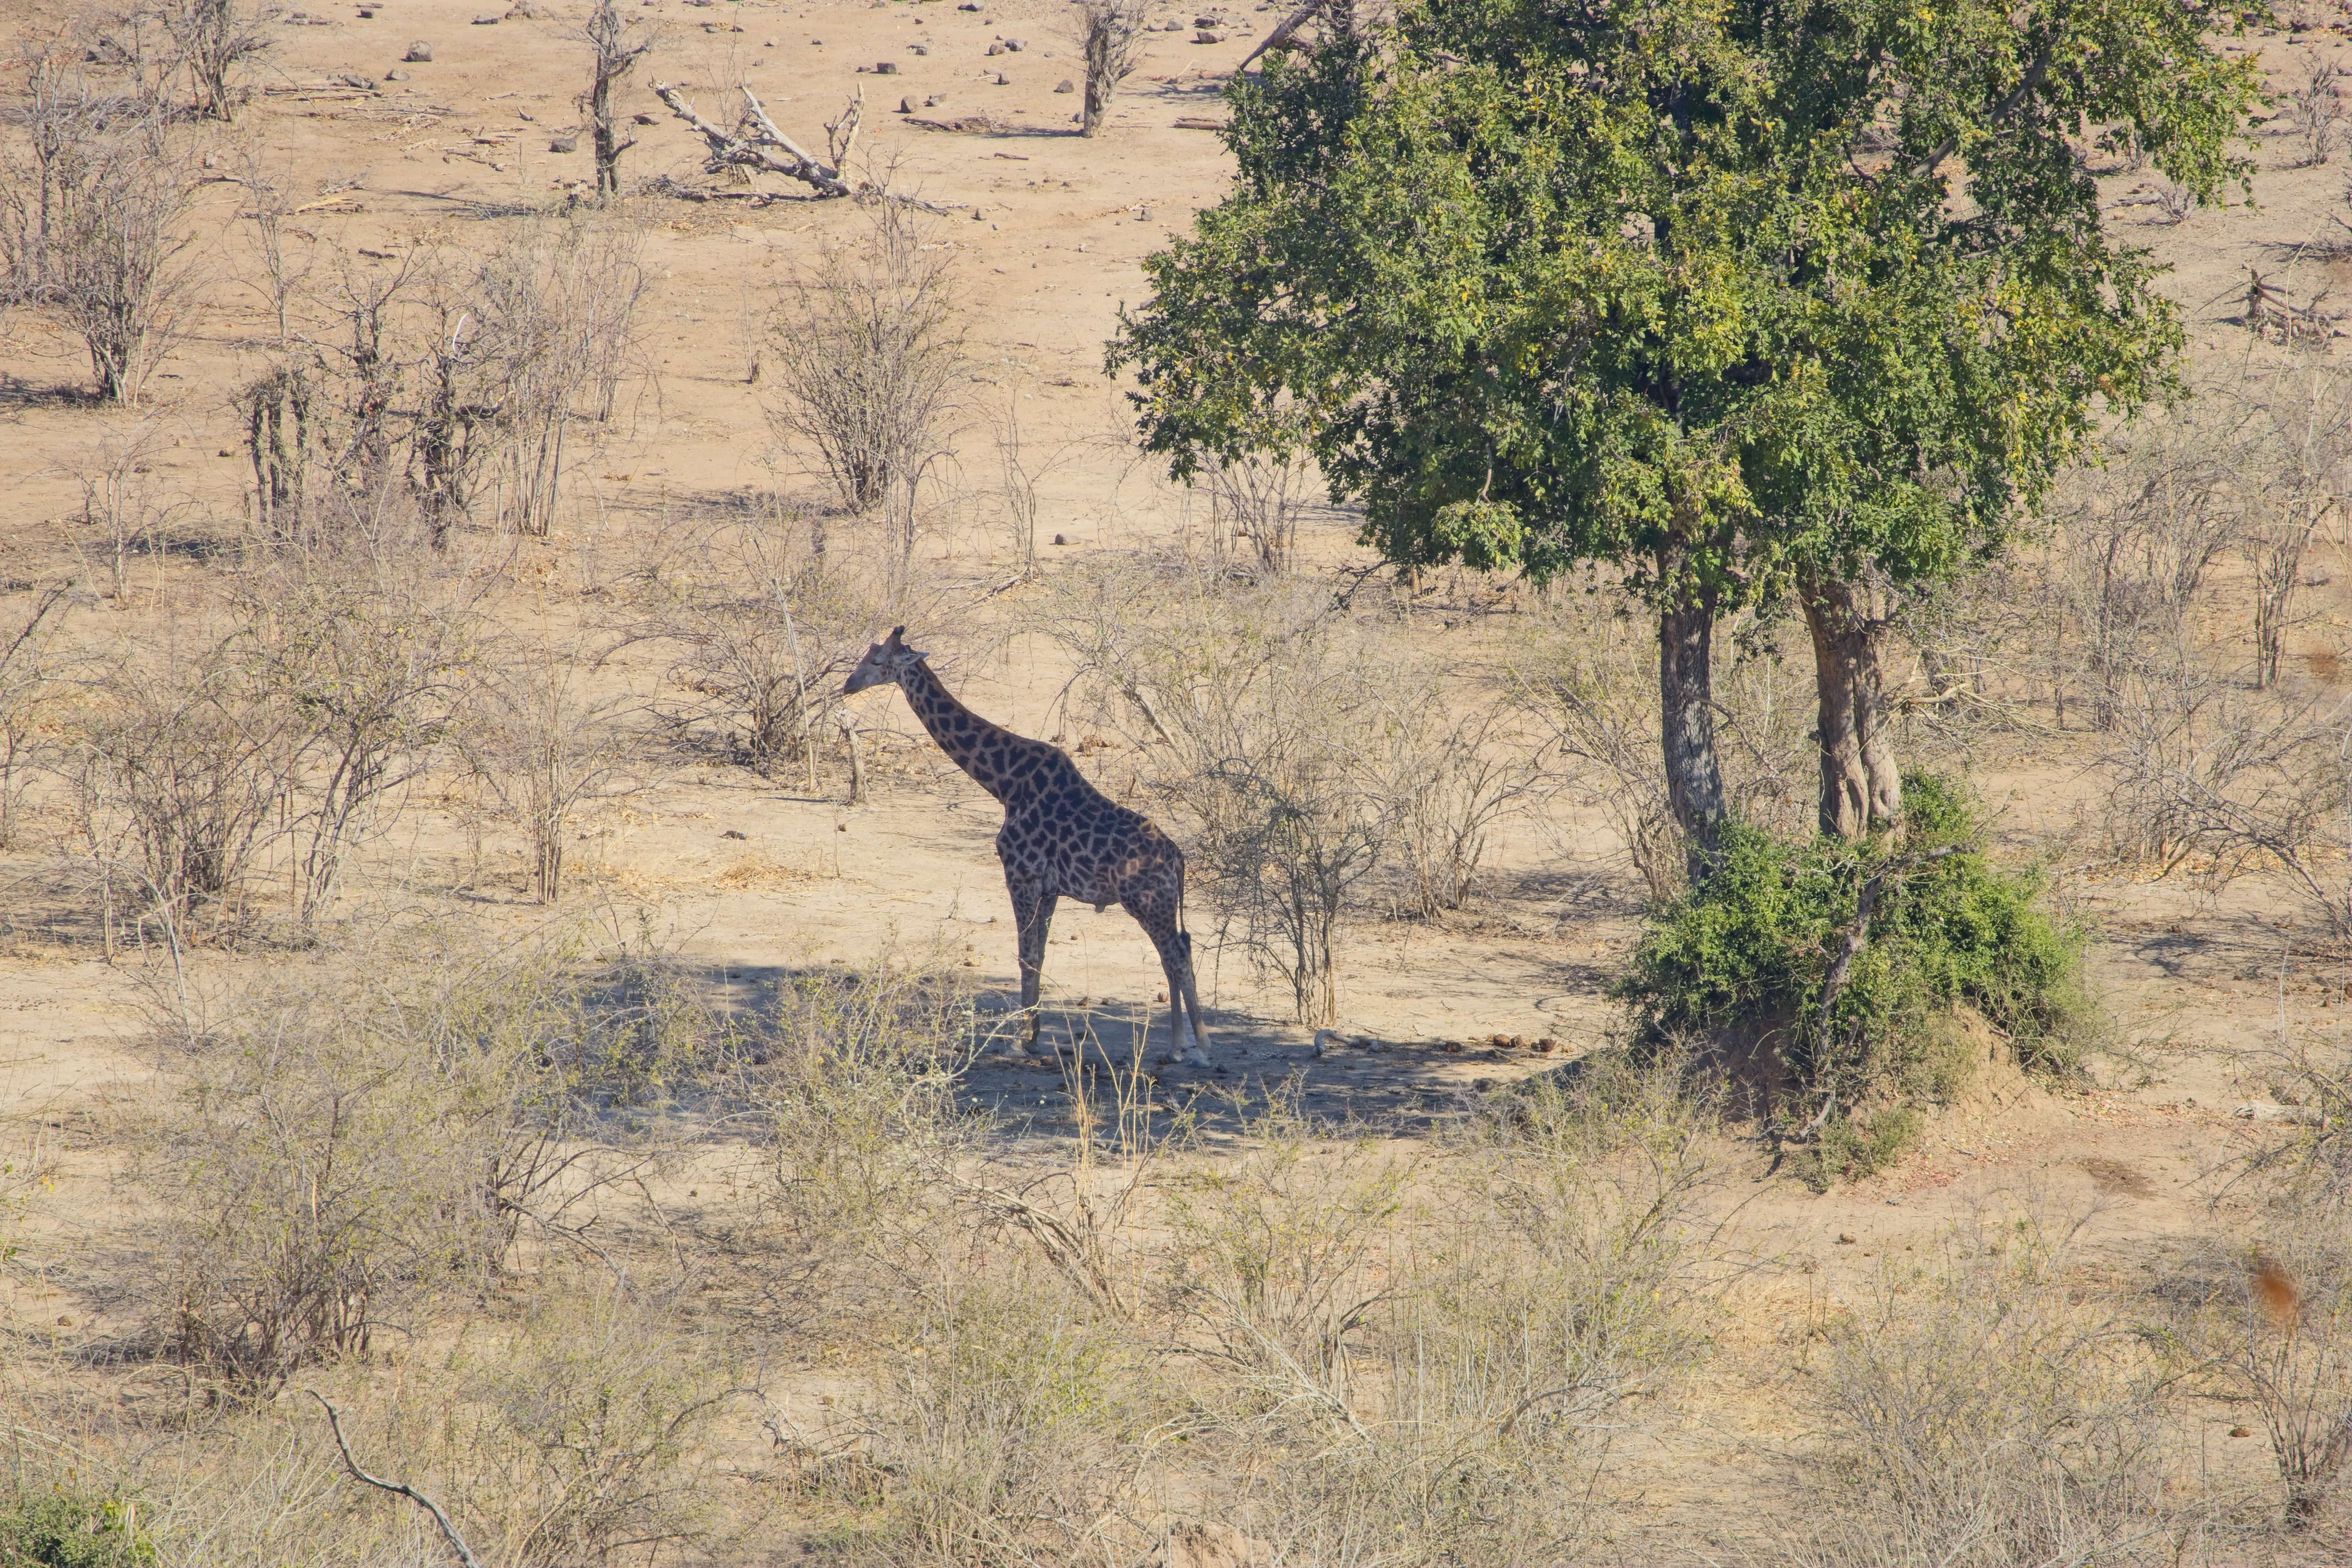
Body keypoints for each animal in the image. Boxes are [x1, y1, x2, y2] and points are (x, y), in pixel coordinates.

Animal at [847, 625, 1214, 1067]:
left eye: (877, 660)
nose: (848, 685)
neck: (1003, 782)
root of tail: (1178, 859)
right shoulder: (1049, 887)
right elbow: (1039, 953)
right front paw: (1034, 1037)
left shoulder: (1020, 874)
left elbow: (1026, 954)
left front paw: (1019, 1040)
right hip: (1159, 904)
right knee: (1179, 949)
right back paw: (1177, 1045)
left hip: (1146, 901)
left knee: (1175, 954)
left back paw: (1201, 1046)